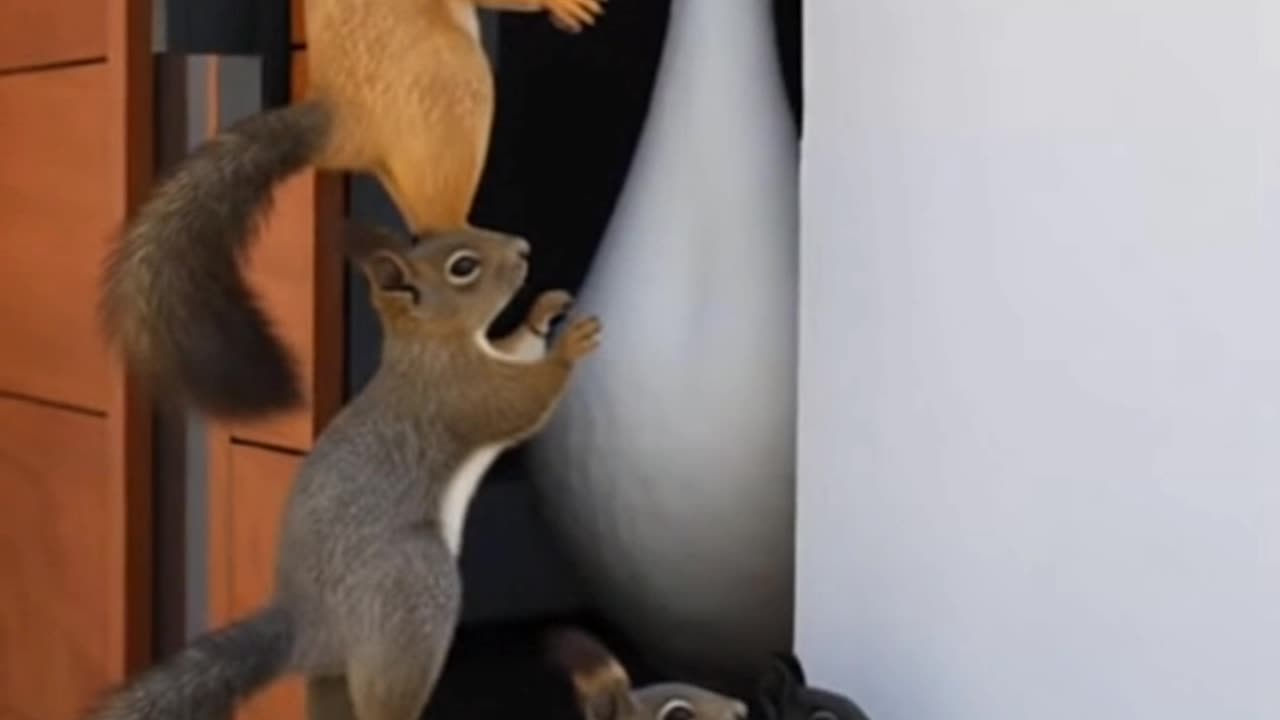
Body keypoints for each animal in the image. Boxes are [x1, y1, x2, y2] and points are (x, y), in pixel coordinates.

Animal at [86, 225, 601, 720]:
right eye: (463, 267)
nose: (523, 248)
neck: (429, 341)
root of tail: (306, 627)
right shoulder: (459, 392)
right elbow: (519, 401)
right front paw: (570, 347)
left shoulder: (486, 359)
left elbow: (517, 348)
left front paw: (545, 310)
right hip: (408, 592)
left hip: (334, 676)